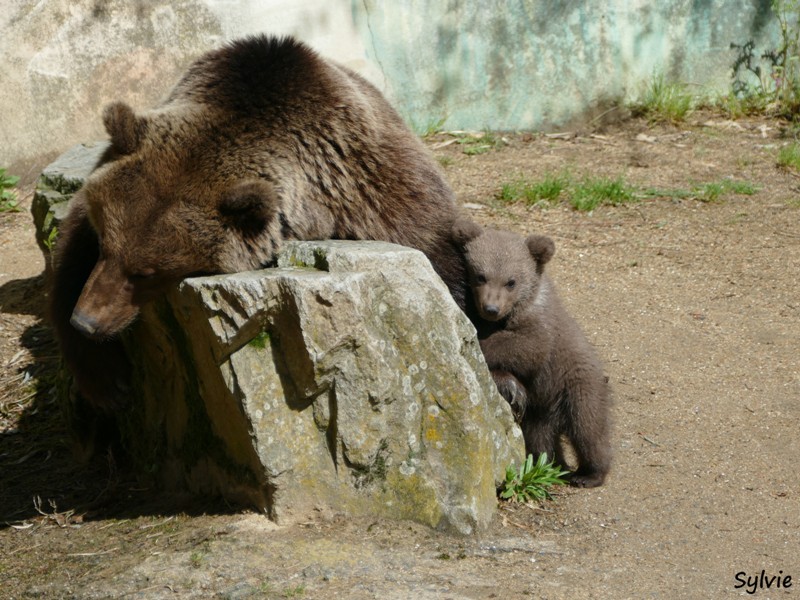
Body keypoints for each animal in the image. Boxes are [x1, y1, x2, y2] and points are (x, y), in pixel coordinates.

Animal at [50, 35, 462, 410]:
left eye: (146, 273)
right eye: (105, 244)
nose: (85, 321)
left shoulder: (375, 191)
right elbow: (70, 249)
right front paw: (105, 379)